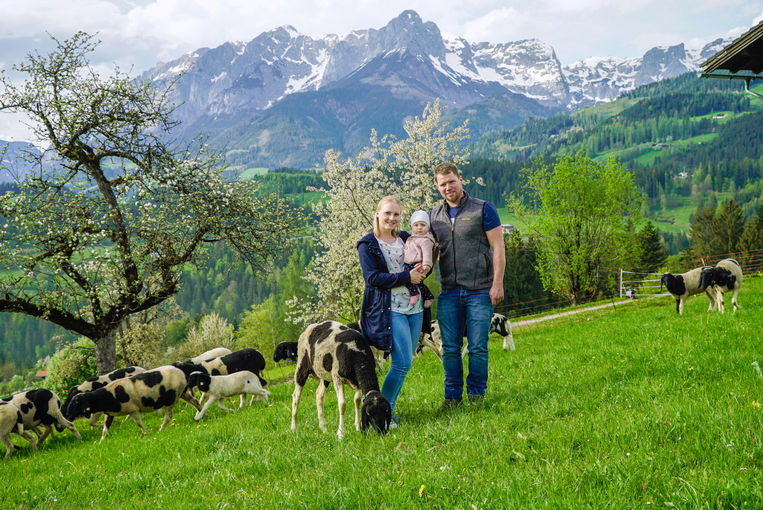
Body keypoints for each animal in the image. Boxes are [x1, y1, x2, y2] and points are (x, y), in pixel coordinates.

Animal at [64, 364, 200, 440]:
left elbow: (139, 423)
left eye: (76, 403)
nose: (68, 416)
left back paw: (161, 429)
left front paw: (146, 433)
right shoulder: (109, 413)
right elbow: (105, 428)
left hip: (172, 397)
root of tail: (183, 374)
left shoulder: (133, 409)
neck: (108, 397)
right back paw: (200, 415)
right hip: (182, 392)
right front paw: (100, 442)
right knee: (195, 401)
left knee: (169, 416)